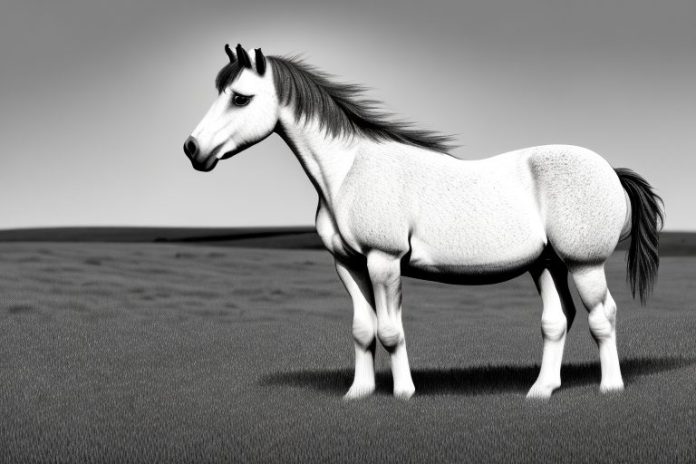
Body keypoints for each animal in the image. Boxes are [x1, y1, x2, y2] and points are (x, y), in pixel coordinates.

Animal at [183, 44, 663, 400]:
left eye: (240, 97)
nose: (192, 149)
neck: (350, 170)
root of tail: (610, 170)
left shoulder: (384, 261)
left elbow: (390, 330)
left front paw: (403, 393)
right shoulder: (348, 265)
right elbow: (363, 330)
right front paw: (358, 394)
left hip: (584, 265)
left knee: (603, 316)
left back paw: (610, 388)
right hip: (547, 265)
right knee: (557, 320)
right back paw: (541, 391)